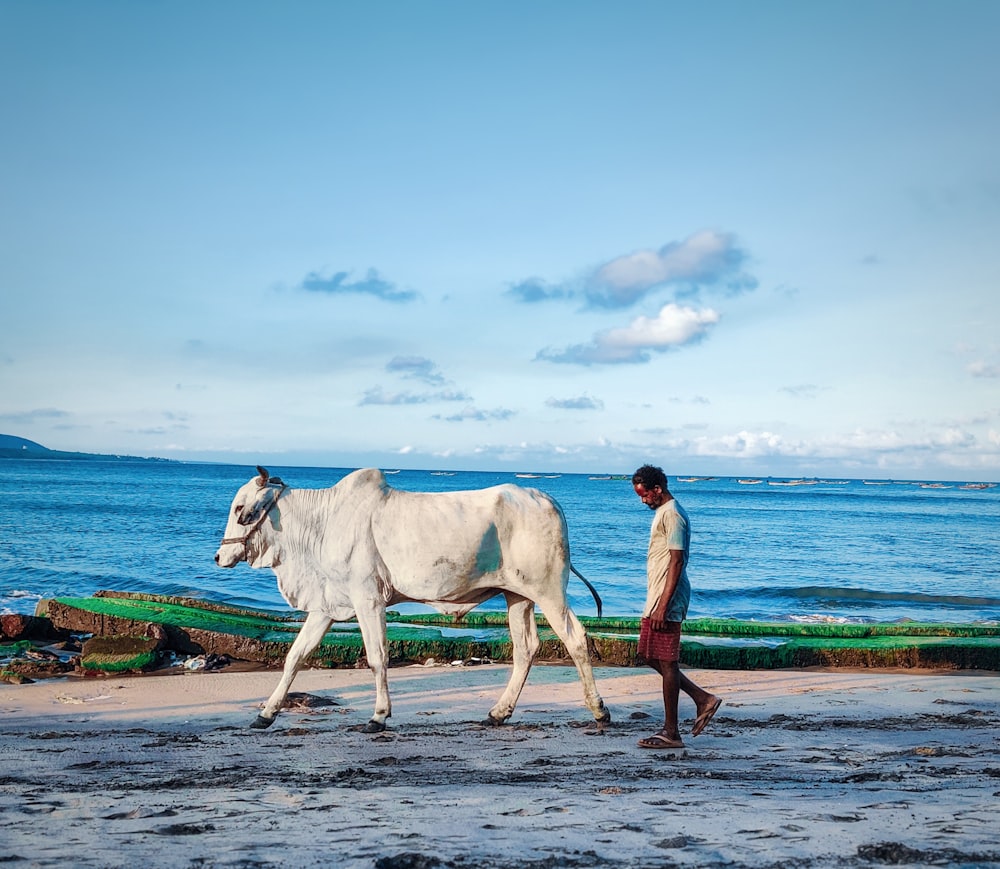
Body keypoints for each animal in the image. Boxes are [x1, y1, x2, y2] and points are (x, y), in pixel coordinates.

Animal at [215, 464, 608, 728]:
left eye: (239, 509)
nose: (219, 556)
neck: (320, 525)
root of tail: (547, 499)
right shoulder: (327, 604)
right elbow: (295, 657)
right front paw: (266, 712)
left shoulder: (368, 598)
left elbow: (377, 657)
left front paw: (378, 715)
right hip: (517, 595)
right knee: (526, 648)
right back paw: (499, 712)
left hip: (548, 590)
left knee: (575, 638)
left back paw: (599, 709)